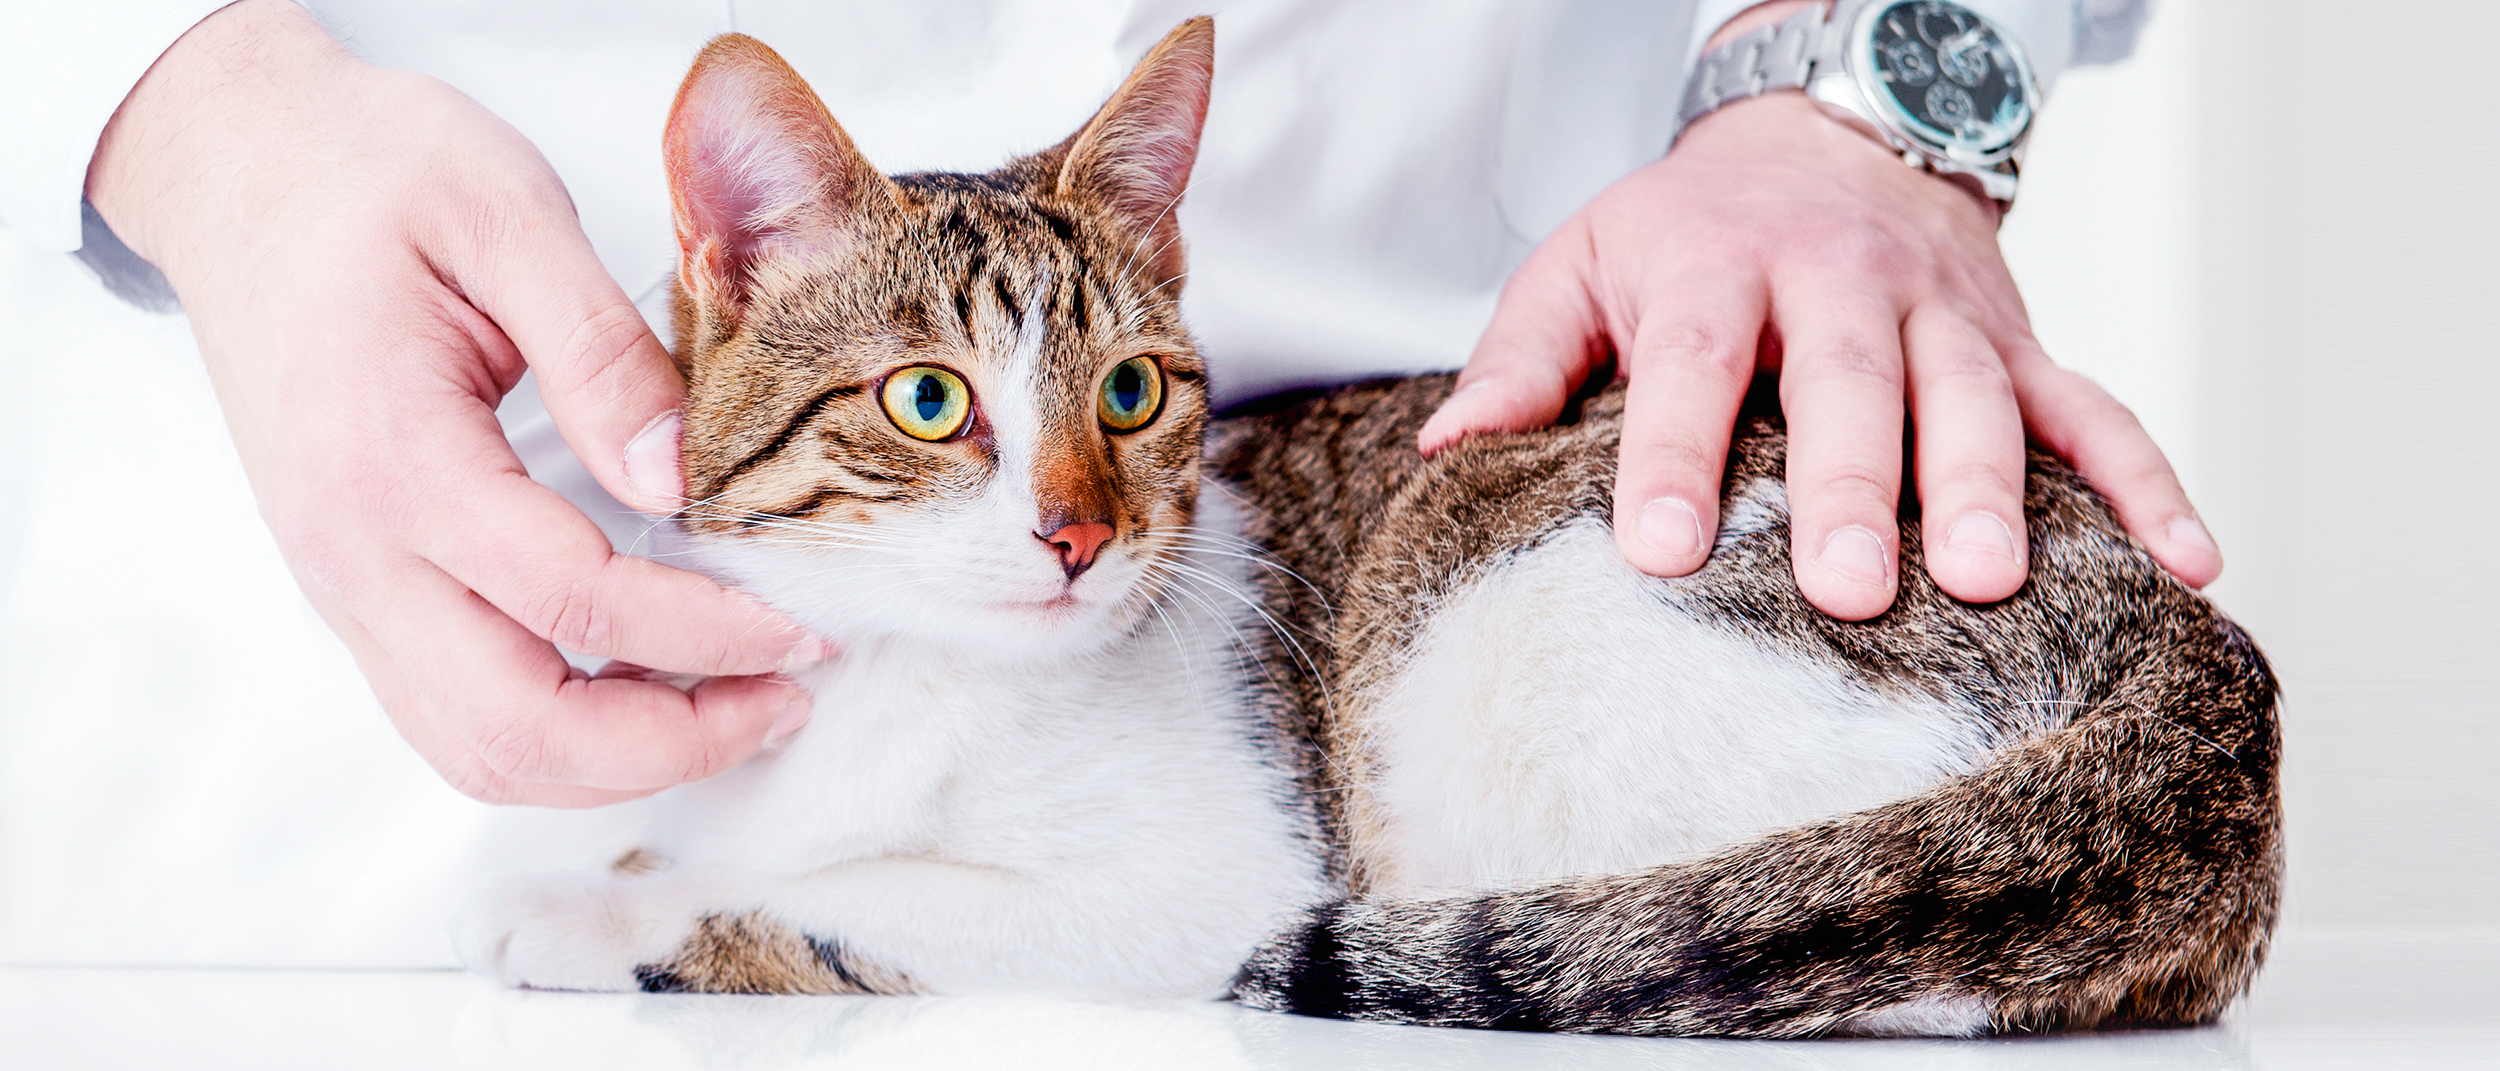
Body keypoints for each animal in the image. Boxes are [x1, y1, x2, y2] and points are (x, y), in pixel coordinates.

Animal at [455, 16, 2290, 1035]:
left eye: (1130, 394)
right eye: (927, 401)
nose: (1074, 536)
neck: (894, 680)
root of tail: (2209, 670)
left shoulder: (1205, 885)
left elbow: (856, 893)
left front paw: (593, 911)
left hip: (1508, 636)